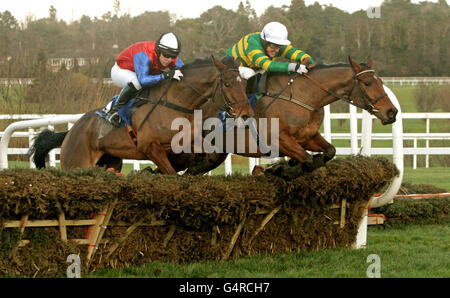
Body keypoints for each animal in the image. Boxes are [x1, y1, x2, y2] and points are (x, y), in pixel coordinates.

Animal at [29, 55, 253, 175]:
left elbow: (202, 155)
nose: (246, 114)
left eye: (244, 83)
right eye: (227, 84)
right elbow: (172, 173)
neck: (176, 102)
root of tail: (70, 132)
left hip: (111, 162)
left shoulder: (187, 143)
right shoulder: (150, 147)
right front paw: (151, 171)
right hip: (77, 163)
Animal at [164, 56, 398, 175]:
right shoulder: (278, 140)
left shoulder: (307, 137)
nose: (392, 112)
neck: (303, 97)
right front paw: (280, 169)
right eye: (367, 83)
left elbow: (329, 151)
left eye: (380, 81)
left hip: (213, 154)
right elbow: (306, 160)